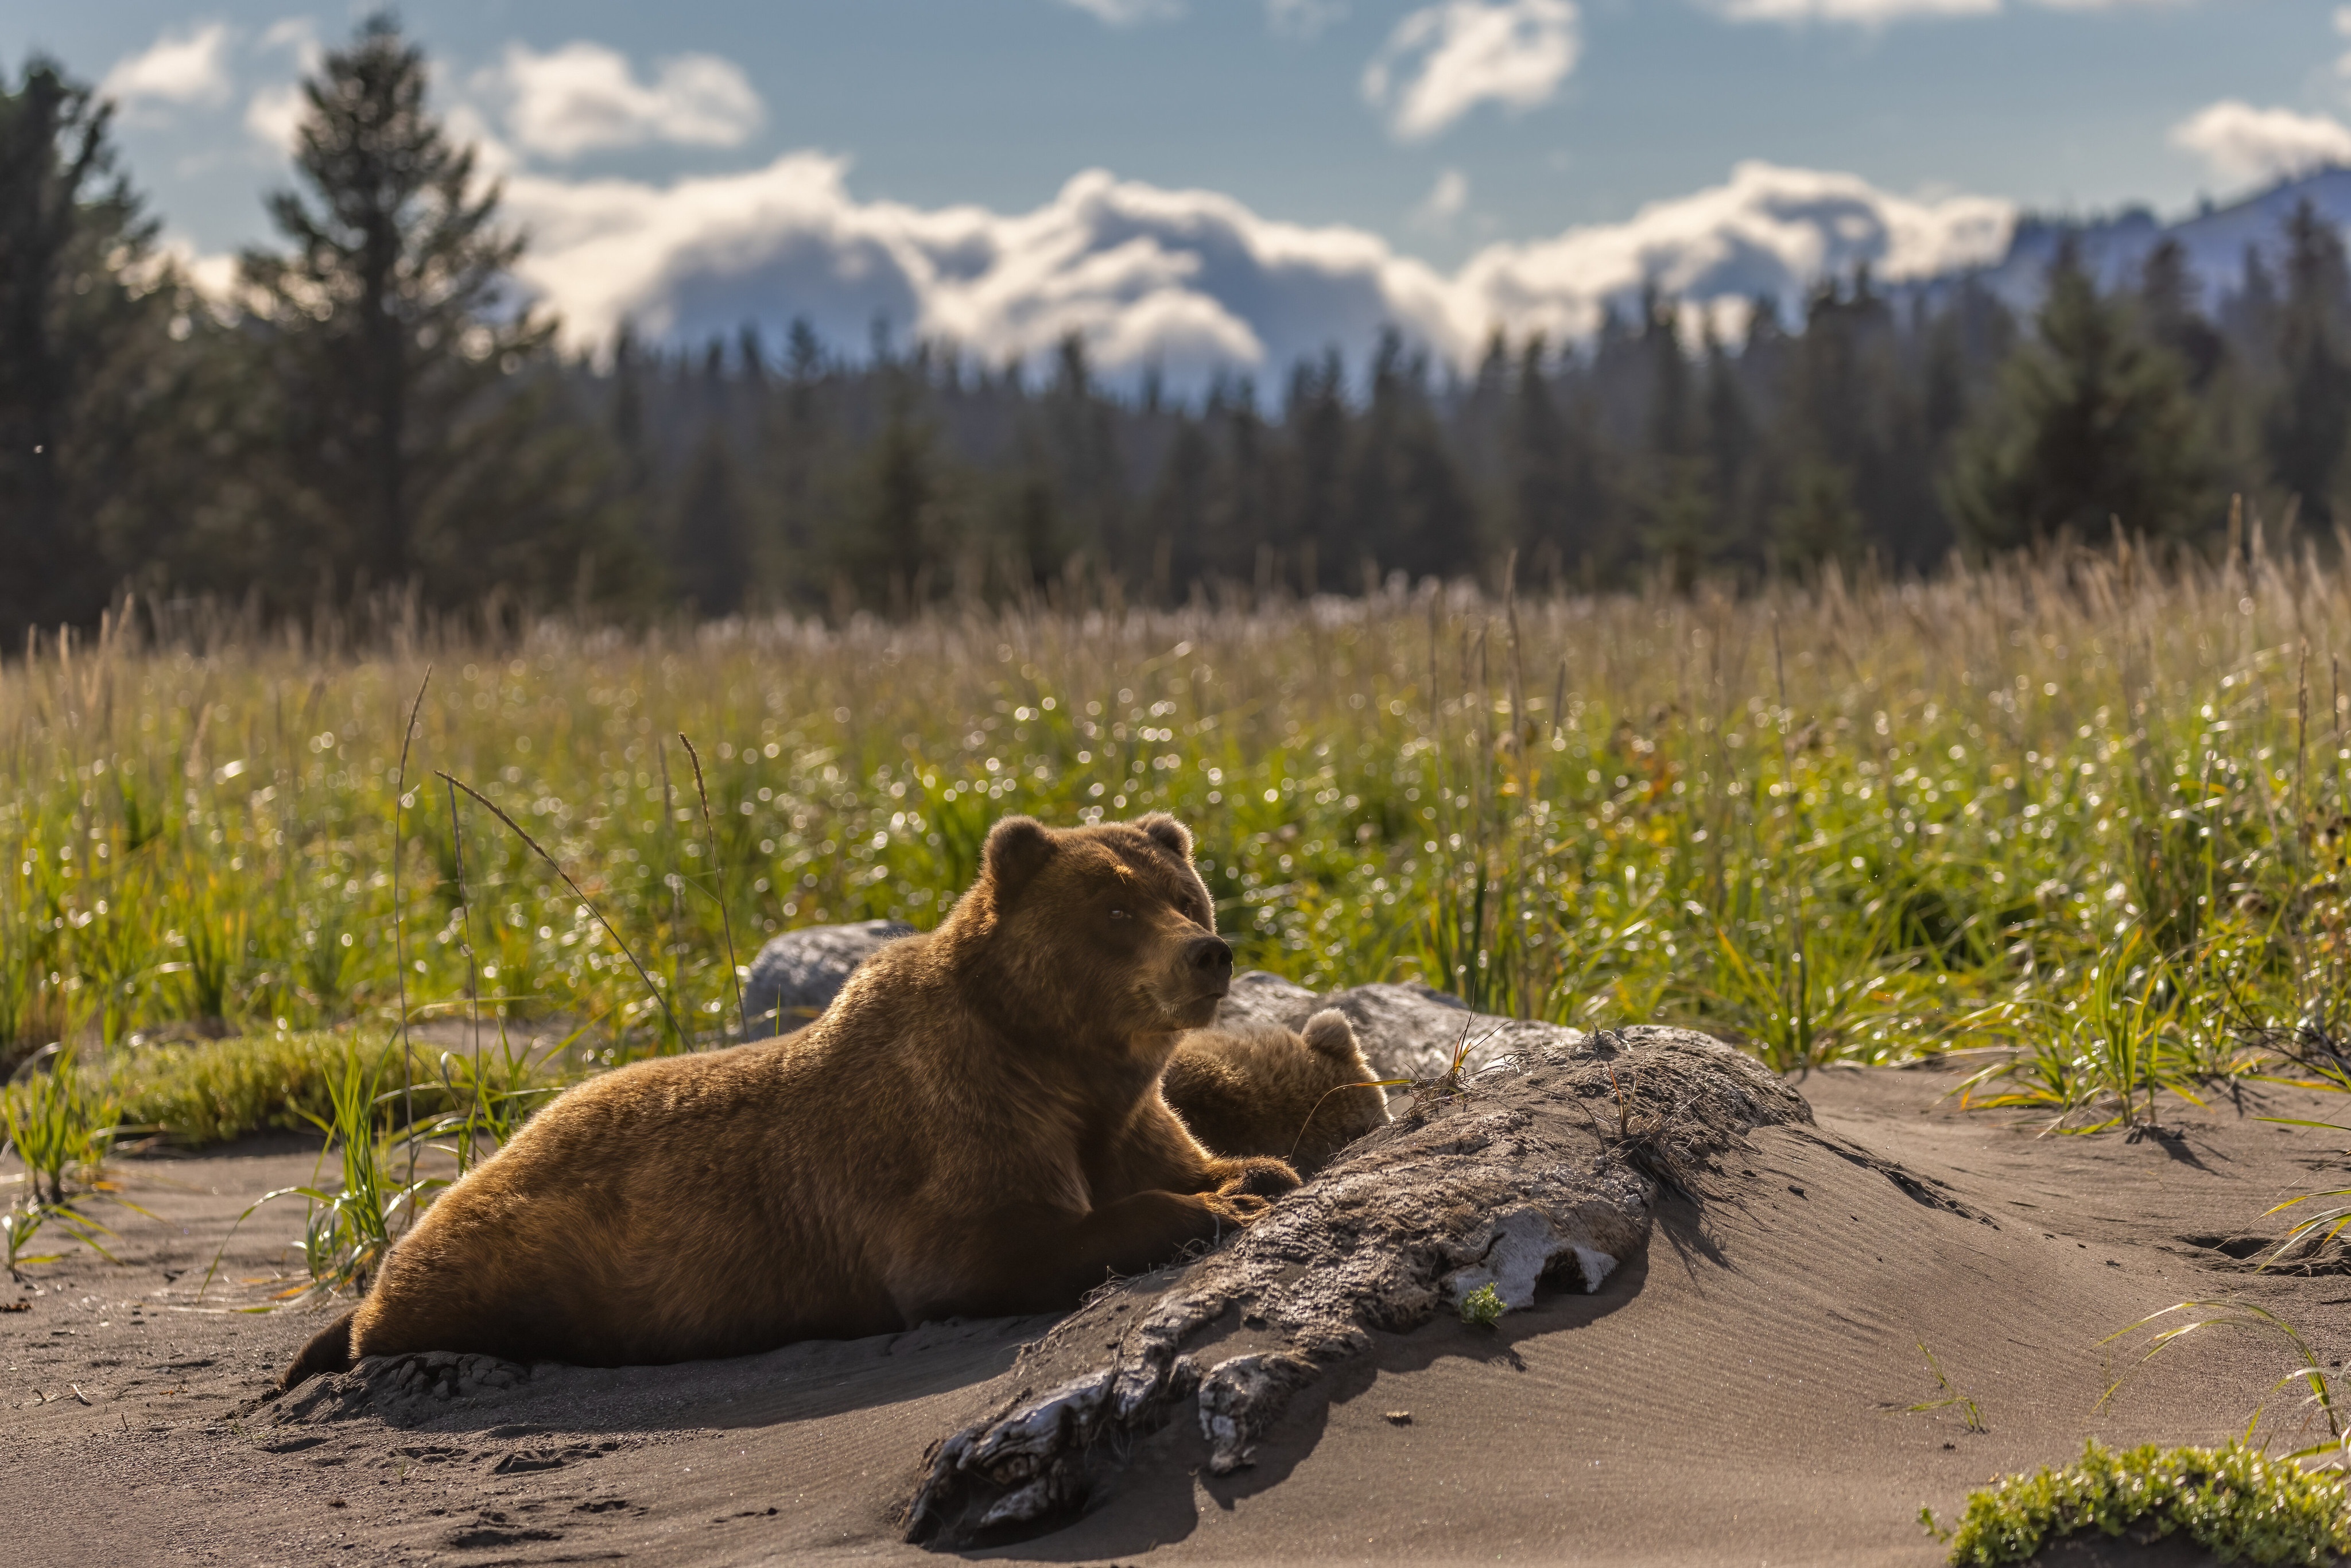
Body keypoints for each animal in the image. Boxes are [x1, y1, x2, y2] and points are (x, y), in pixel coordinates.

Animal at [278, 813, 1299, 1389]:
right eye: (1115, 910)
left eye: (1185, 895)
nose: (1207, 954)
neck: (1061, 1057)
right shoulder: (955, 1126)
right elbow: (986, 1248)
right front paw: (1216, 1204)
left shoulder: (1122, 1114)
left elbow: (1186, 1152)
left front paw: (1255, 1171)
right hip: (521, 1250)